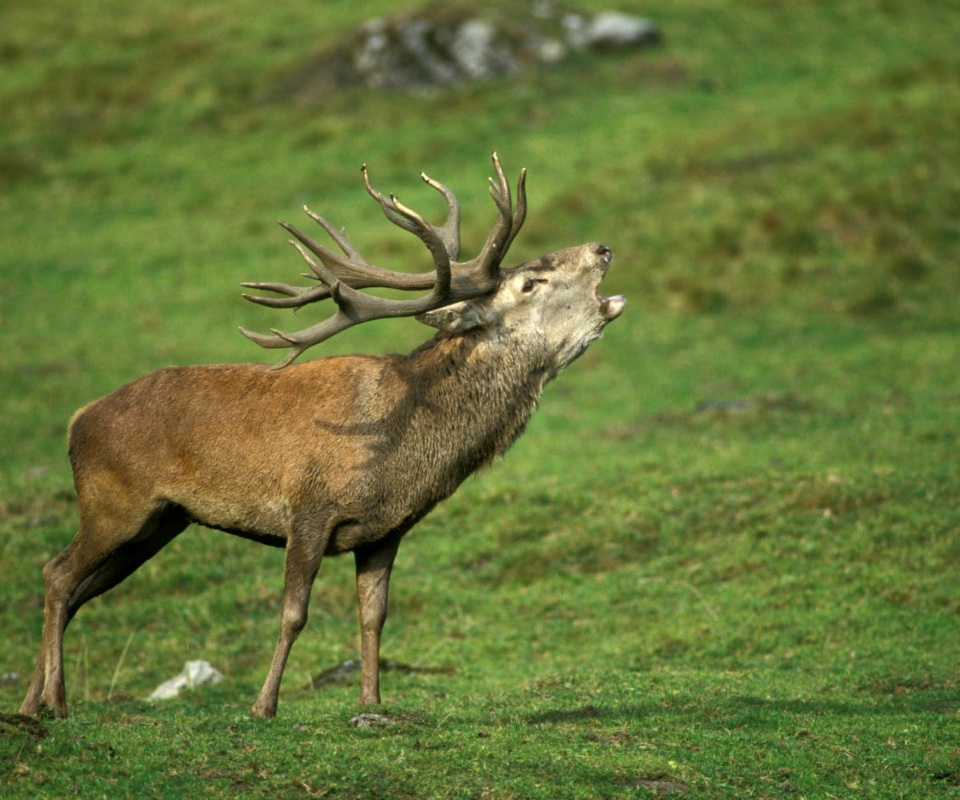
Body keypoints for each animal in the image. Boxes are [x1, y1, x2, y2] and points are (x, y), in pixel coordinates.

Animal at [18, 155, 628, 720]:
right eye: (531, 281)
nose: (602, 248)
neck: (407, 450)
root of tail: (77, 421)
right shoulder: (308, 508)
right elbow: (294, 613)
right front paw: (264, 705)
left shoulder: (386, 530)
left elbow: (373, 615)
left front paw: (372, 702)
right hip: (114, 503)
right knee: (57, 575)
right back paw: (56, 702)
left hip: (158, 523)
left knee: (75, 591)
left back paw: (31, 703)